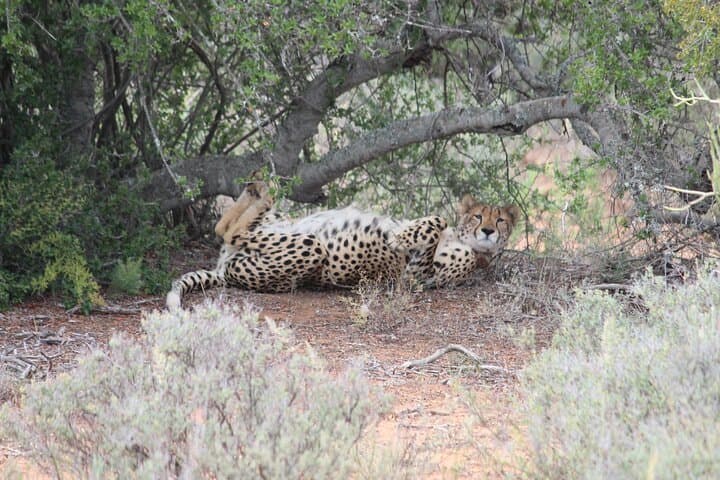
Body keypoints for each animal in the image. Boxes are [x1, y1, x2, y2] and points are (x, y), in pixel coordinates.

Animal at [166, 179, 519, 310]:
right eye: (478, 215)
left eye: (501, 220)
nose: (488, 230)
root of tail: (223, 271)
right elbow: (436, 220)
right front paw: (402, 229)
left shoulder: (414, 277)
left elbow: (435, 225)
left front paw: (399, 236)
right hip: (281, 224)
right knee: (231, 224)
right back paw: (258, 184)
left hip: (309, 247)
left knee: (227, 229)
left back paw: (262, 187)